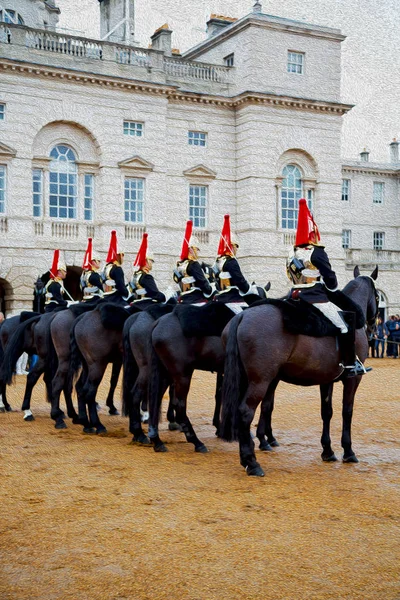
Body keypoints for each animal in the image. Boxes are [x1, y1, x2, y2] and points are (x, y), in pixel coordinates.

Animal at [220, 268, 380, 478]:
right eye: (378, 296)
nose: (373, 328)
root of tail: (242, 316)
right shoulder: (353, 379)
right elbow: (347, 411)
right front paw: (348, 451)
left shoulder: (326, 379)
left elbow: (326, 412)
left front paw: (328, 451)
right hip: (260, 381)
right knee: (245, 412)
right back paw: (252, 462)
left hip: (247, 379)